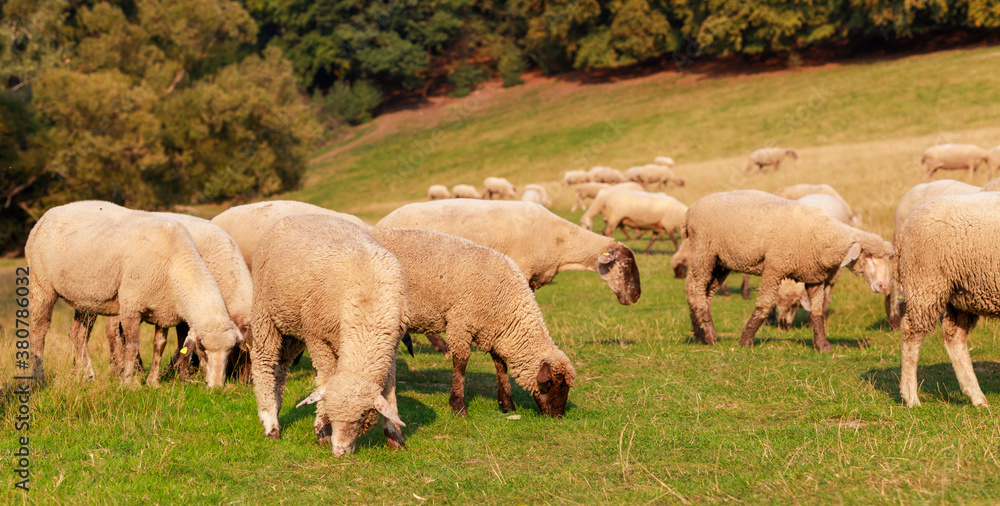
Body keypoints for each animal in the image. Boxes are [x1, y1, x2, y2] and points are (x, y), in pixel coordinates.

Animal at [26, 201, 242, 387]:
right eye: (202, 349)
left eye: (230, 351)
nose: (216, 387)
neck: (177, 264)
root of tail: (47, 214)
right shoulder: (131, 306)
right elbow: (132, 346)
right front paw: (128, 383)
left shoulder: (163, 310)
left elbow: (159, 345)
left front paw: (153, 381)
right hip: (40, 284)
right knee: (39, 332)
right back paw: (39, 378)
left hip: (85, 298)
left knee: (78, 335)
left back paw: (88, 377)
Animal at [251, 214, 410, 455]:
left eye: (363, 414)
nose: (339, 451)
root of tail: (297, 215)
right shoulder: (316, 336)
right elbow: (326, 377)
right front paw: (322, 429)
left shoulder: (391, 344)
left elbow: (389, 386)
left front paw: (394, 435)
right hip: (265, 313)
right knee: (264, 362)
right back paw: (270, 425)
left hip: (291, 325)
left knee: (280, 368)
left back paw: (277, 410)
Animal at [370, 228, 576, 417]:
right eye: (552, 384)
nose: (557, 416)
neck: (507, 303)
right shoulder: (461, 323)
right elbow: (461, 363)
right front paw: (458, 405)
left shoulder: (494, 330)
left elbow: (501, 366)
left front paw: (506, 404)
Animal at [684, 190, 892, 352]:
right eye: (869, 256)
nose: (883, 286)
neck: (822, 235)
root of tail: (691, 208)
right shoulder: (774, 268)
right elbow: (766, 304)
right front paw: (746, 340)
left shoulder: (815, 278)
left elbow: (816, 311)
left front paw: (823, 346)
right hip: (704, 250)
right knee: (696, 287)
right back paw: (709, 335)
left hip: (721, 261)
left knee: (702, 290)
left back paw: (700, 332)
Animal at [896, 192, 1000, 407]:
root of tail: (906, 224)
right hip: (926, 284)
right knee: (911, 334)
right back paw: (911, 397)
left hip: (962, 295)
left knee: (955, 338)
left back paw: (977, 397)